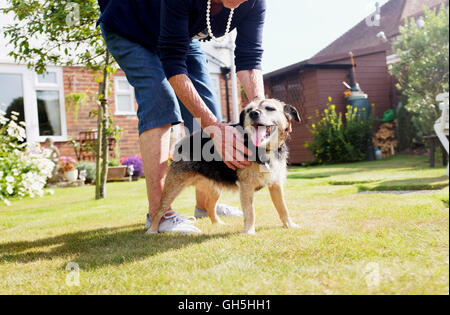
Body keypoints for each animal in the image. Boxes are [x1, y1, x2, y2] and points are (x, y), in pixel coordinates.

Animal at [148, 99, 302, 235]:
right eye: (249, 110)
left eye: (270, 108)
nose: (253, 114)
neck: (265, 149)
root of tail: (182, 142)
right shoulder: (246, 187)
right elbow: (250, 211)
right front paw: (249, 231)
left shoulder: (276, 184)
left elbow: (283, 208)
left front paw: (290, 225)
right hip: (173, 187)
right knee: (159, 210)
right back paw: (152, 230)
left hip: (214, 189)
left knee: (209, 206)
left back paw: (218, 223)